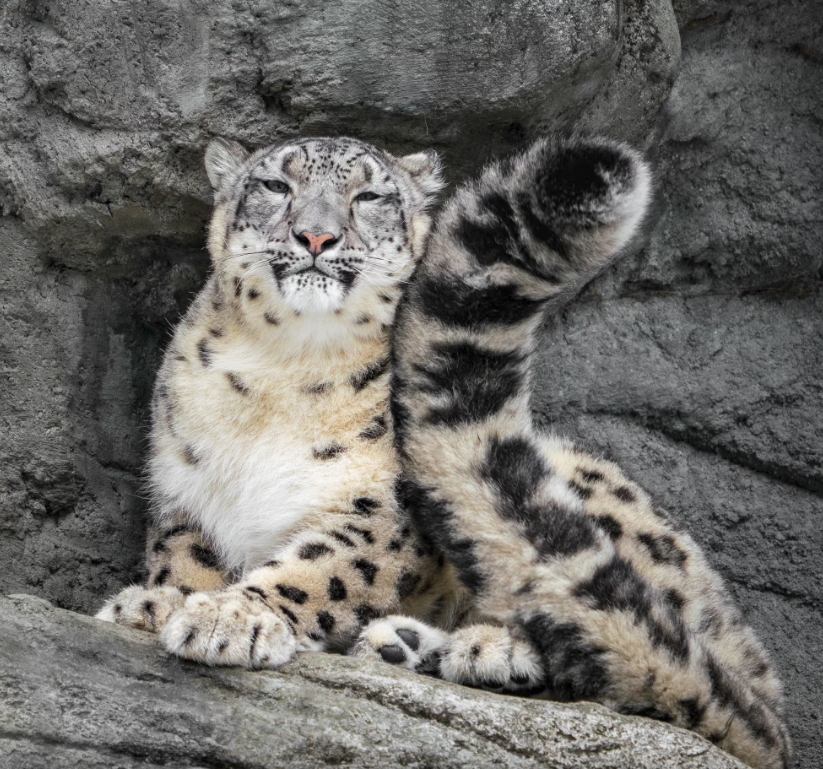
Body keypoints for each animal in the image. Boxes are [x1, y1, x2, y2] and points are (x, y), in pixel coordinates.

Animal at [98, 134, 792, 768]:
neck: (284, 369)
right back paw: (404, 643)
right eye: (276, 185)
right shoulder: (184, 485)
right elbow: (183, 555)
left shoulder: (384, 509)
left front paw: (233, 618)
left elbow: (319, 568)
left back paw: (492, 649)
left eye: (370, 196)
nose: (316, 237)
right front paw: (156, 602)